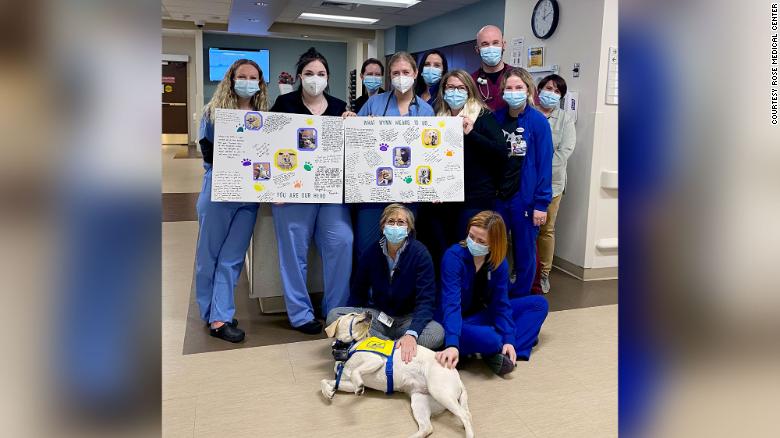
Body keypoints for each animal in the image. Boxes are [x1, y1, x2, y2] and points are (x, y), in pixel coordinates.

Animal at [320, 314, 472, 436]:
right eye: (352, 314)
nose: (369, 313)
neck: (348, 348)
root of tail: (458, 377)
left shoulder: (375, 360)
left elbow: (355, 372)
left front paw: (358, 386)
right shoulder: (348, 383)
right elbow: (324, 381)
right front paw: (328, 392)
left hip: (439, 392)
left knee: (466, 416)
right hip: (419, 401)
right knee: (427, 428)